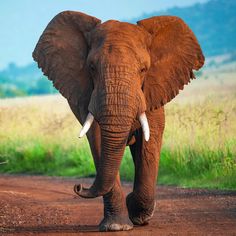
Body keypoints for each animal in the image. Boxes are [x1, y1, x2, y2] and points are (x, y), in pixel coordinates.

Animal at [32, 10, 204, 230]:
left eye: (143, 69)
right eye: (91, 68)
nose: (78, 186)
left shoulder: (152, 91)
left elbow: (149, 143)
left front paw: (137, 214)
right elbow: (98, 140)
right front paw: (117, 226)